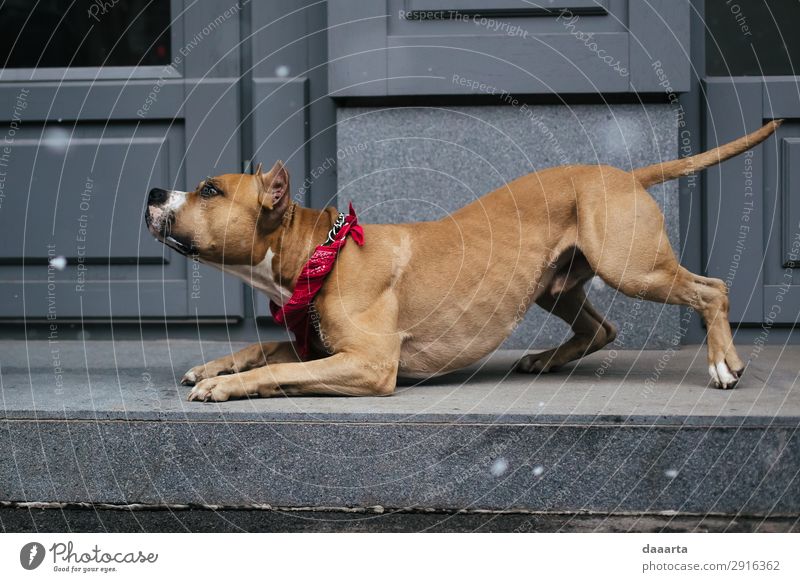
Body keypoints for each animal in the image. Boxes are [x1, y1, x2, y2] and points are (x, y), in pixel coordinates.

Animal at [145, 118, 780, 402]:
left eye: (209, 190)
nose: (152, 192)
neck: (318, 251)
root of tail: (624, 174)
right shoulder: (319, 345)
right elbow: (260, 348)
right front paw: (213, 367)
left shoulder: (369, 363)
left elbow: (276, 371)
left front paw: (224, 387)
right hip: (557, 285)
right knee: (601, 328)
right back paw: (545, 360)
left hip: (633, 267)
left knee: (711, 289)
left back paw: (723, 364)